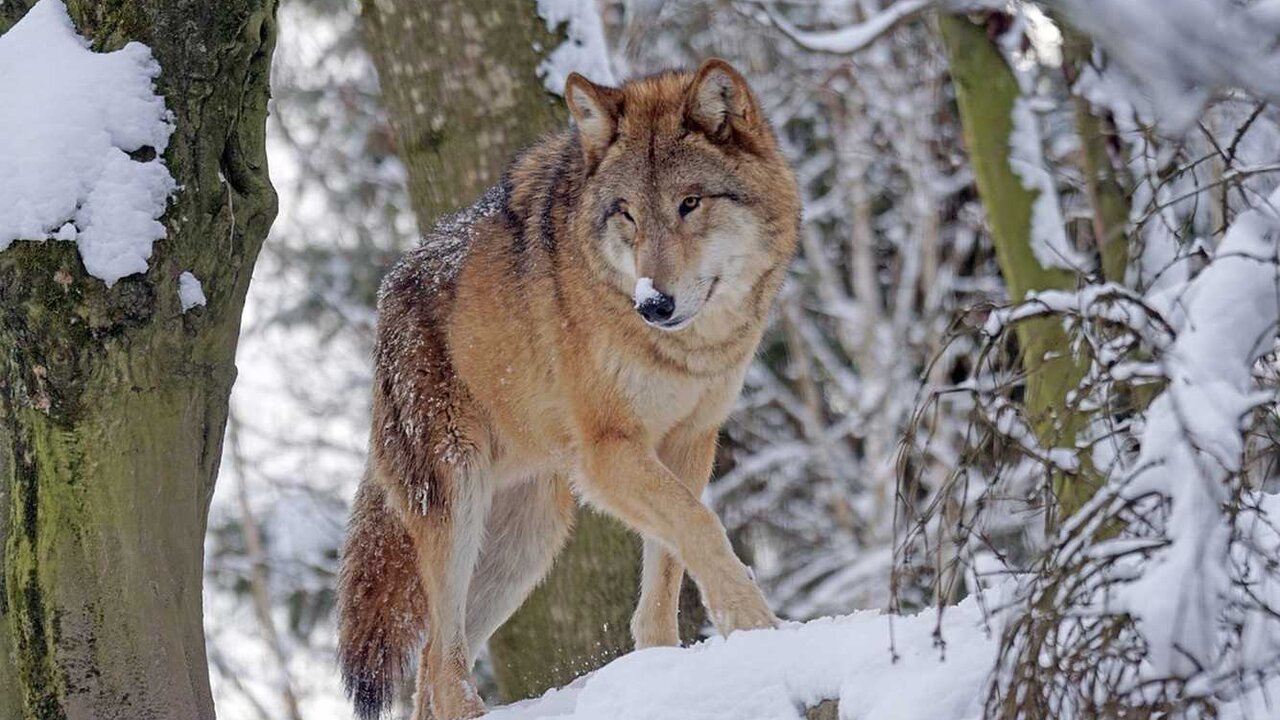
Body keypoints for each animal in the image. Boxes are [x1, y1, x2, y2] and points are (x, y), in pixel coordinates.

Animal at [340, 58, 798, 712]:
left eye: (690, 203)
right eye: (627, 212)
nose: (653, 303)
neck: (687, 351)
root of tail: (387, 295)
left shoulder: (689, 442)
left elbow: (669, 566)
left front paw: (663, 666)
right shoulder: (609, 452)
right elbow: (702, 527)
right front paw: (759, 629)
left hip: (525, 545)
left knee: (431, 663)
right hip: (458, 506)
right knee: (440, 658)